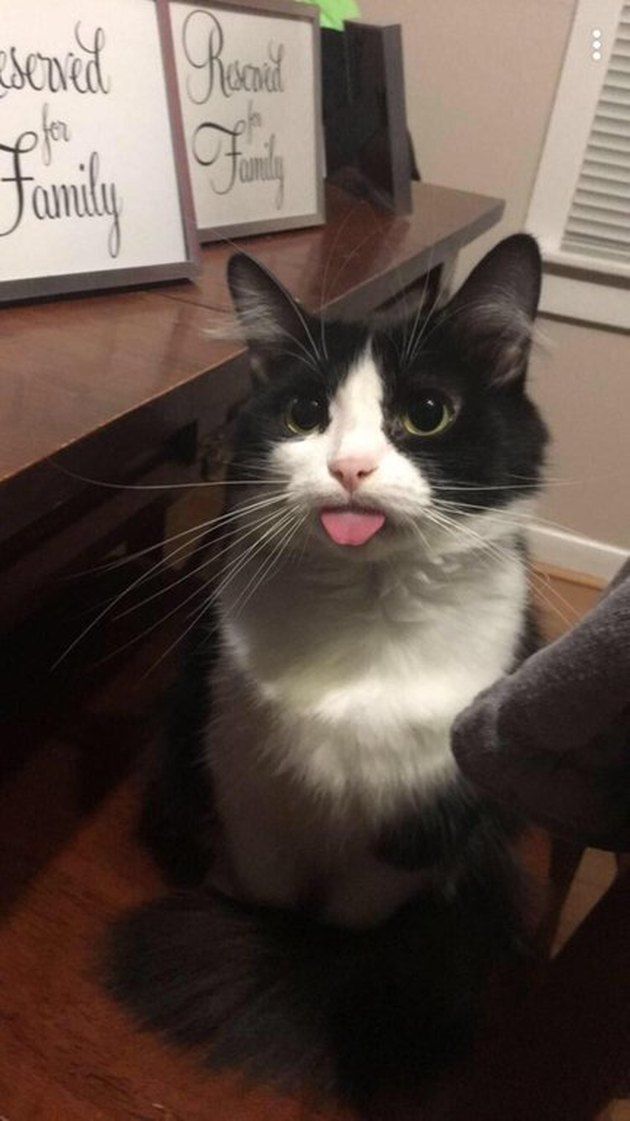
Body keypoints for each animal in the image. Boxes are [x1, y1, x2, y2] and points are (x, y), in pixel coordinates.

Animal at [110, 232, 547, 1107]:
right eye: (304, 415)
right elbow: (269, 888)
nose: (348, 469)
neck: (364, 617)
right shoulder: (248, 786)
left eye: (427, 413)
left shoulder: (417, 825)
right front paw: (261, 932)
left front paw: (308, 955)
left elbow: (351, 917)